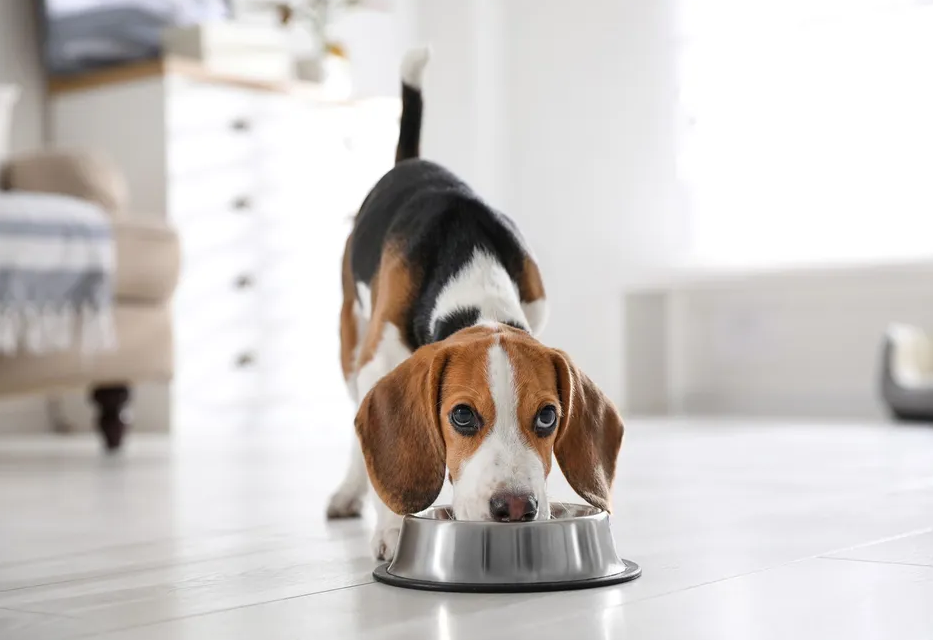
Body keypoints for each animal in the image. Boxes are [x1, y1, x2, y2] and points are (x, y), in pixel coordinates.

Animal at [328, 46, 628, 560]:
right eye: (462, 416)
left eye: (548, 416)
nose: (516, 507)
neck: (470, 266)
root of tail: (413, 161)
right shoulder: (377, 362)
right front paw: (392, 529)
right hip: (351, 345)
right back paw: (349, 491)